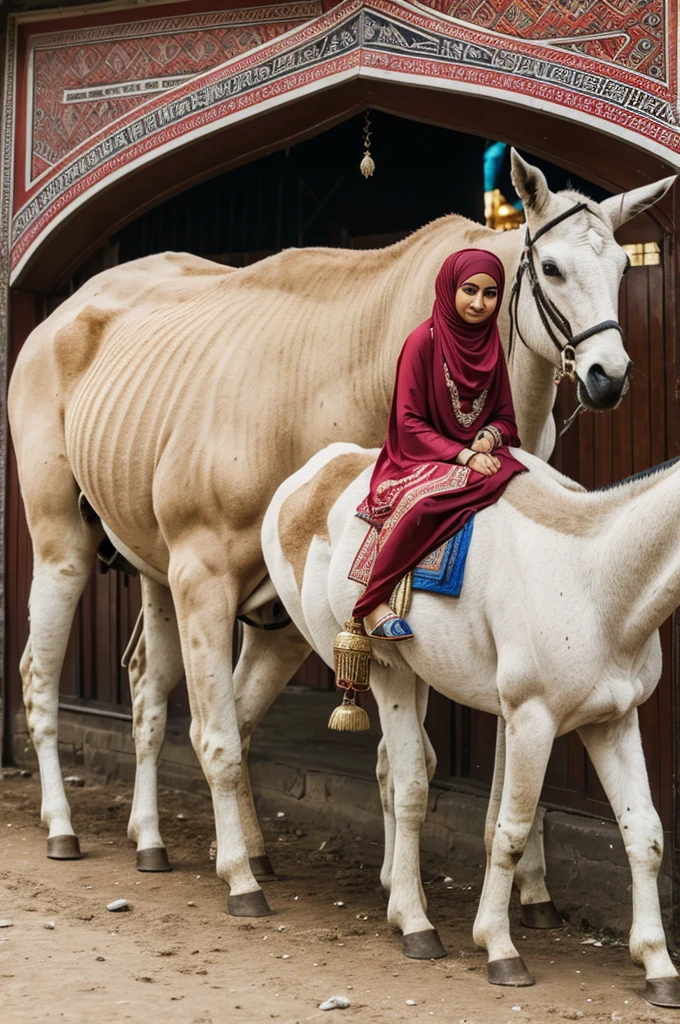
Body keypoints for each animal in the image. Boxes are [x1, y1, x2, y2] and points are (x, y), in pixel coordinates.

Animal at [262, 442, 680, 1007]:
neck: (593, 581)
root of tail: (322, 466)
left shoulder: (613, 720)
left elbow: (646, 836)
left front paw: (657, 964)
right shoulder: (532, 719)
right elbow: (511, 831)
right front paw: (499, 948)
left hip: (418, 680)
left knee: (393, 773)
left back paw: (398, 891)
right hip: (386, 672)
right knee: (410, 787)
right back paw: (412, 922)